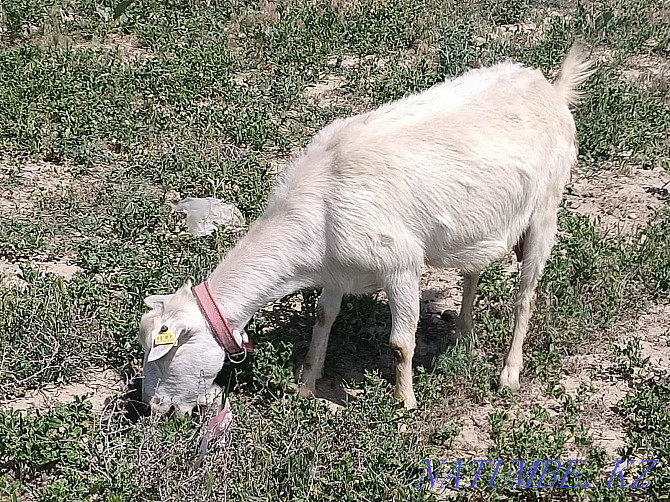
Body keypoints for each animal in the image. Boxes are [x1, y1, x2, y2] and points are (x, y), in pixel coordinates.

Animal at [138, 46, 592, 416]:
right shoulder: (336, 270)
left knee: (525, 296)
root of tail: (551, 88)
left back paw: (508, 374)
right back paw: (463, 336)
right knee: (472, 272)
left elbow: (400, 344)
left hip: (545, 209)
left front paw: (404, 404)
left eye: (165, 355)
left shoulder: (402, 265)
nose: (154, 409)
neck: (318, 204)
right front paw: (306, 386)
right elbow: (323, 318)